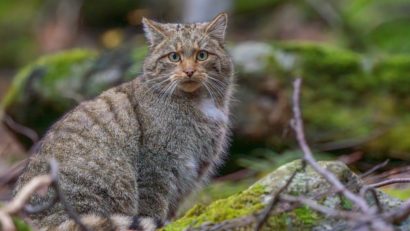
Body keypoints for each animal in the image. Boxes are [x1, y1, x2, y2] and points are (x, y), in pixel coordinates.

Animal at [14, 13, 234, 231]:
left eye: (202, 55)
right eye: (174, 56)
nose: (189, 71)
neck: (197, 103)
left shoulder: (190, 175)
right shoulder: (156, 168)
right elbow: (153, 207)